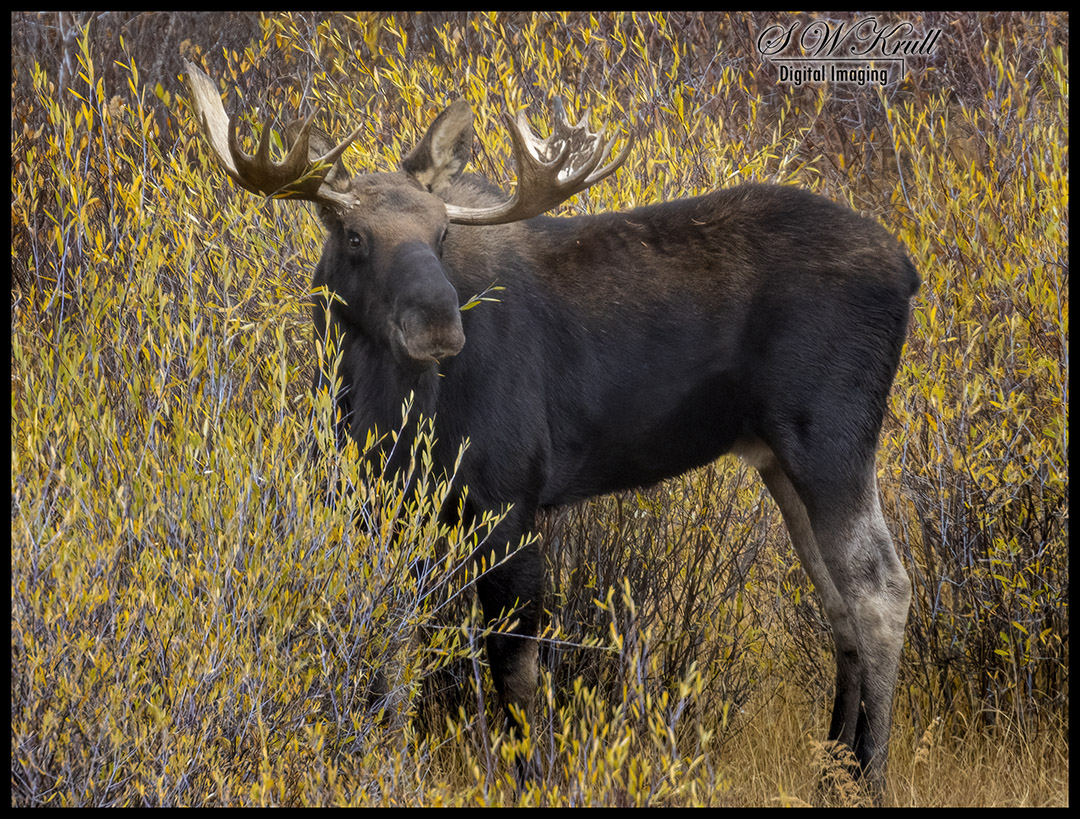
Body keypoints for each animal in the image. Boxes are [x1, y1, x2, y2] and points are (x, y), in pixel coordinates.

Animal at [185, 59, 919, 793]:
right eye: (356, 236)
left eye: (441, 234)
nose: (439, 327)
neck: (382, 405)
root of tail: (908, 272)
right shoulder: (386, 509)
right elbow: (392, 647)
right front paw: (385, 764)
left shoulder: (510, 501)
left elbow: (514, 667)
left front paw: (531, 776)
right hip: (776, 455)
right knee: (838, 602)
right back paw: (834, 772)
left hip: (831, 438)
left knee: (881, 587)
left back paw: (872, 774)